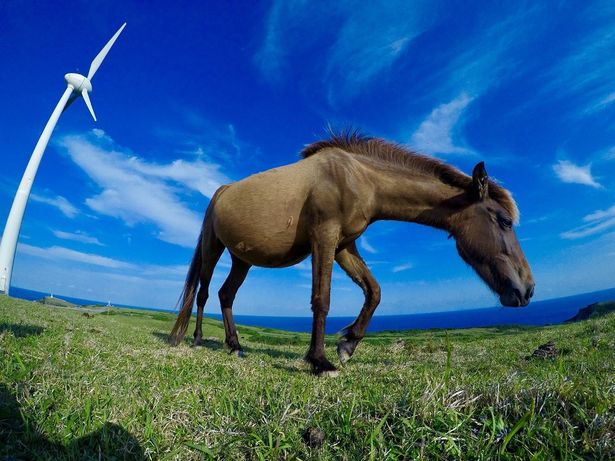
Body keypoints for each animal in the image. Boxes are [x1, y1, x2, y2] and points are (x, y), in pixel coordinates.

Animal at [170, 132, 536, 374]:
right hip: (213, 248)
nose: (527, 289)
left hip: (242, 259)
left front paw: (348, 344)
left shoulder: (344, 246)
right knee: (202, 293)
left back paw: (234, 345)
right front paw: (320, 361)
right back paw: (193, 338)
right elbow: (322, 299)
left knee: (225, 294)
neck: (358, 178)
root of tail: (221, 191)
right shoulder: (324, 238)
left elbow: (374, 291)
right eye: (504, 221)